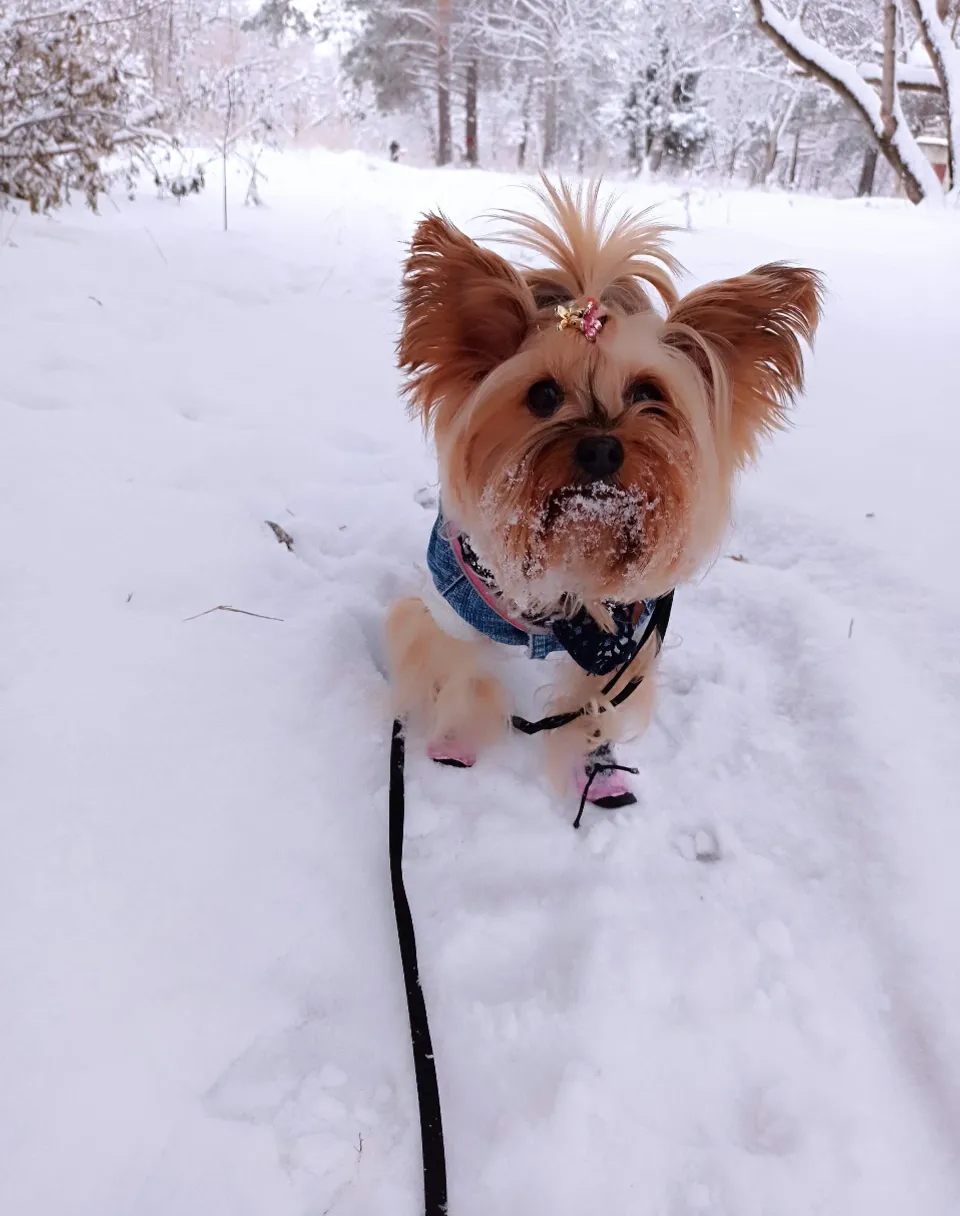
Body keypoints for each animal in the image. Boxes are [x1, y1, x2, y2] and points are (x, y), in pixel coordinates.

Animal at [386, 177, 822, 807]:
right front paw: (455, 742)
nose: (600, 449)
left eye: (648, 393)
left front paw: (596, 770)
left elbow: (592, 708)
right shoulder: (451, 612)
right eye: (542, 395)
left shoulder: (622, 643)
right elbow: (461, 674)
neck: (575, 549)